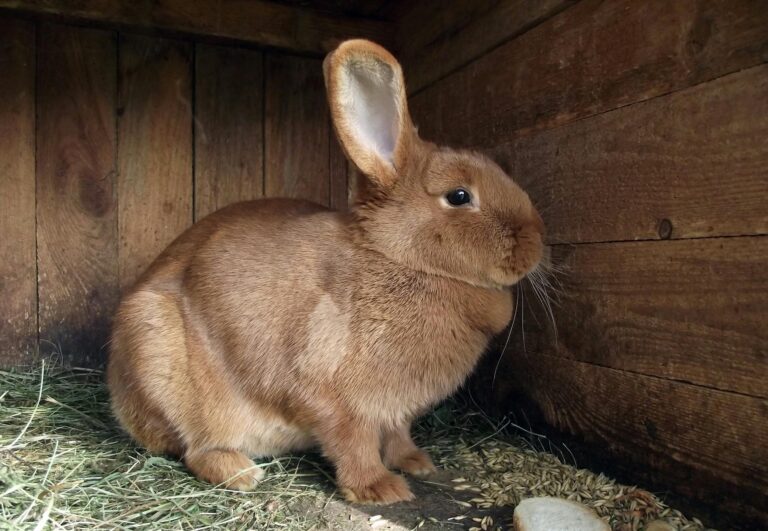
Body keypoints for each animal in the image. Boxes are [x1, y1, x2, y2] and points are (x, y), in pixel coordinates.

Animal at [107, 39, 545, 505]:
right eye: (459, 196)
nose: (536, 242)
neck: (399, 258)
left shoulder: (395, 411)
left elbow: (398, 435)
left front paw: (416, 463)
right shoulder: (330, 391)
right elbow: (351, 440)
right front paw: (381, 489)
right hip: (160, 357)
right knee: (194, 447)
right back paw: (240, 472)